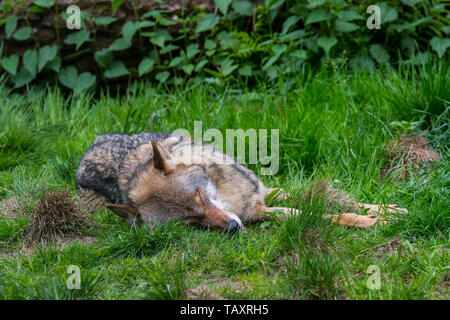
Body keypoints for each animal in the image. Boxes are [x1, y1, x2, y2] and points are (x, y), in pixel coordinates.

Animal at [74, 131, 404, 231]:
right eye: (190, 222)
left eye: (201, 198)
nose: (233, 227)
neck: (228, 198)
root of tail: (90, 146)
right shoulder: (261, 211)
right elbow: (326, 215)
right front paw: (373, 222)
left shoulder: (264, 192)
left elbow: (333, 200)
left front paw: (388, 210)